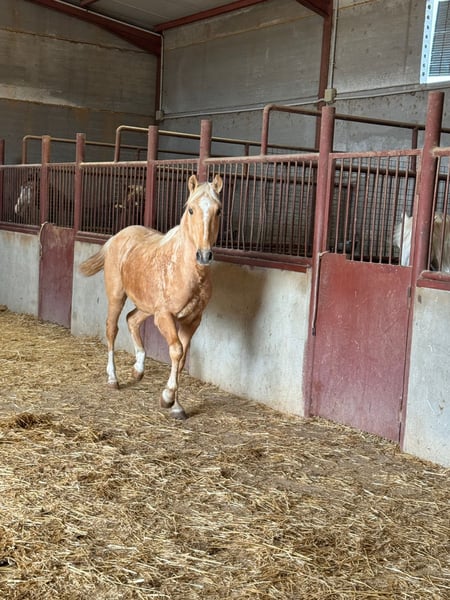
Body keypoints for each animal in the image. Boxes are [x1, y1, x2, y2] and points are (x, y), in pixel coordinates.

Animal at [79, 174, 223, 419]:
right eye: (191, 209)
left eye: (218, 210)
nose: (204, 255)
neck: (184, 270)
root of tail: (117, 236)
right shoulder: (164, 316)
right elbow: (176, 351)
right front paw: (167, 398)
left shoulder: (192, 320)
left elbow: (182, 359)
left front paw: (177, 406)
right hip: (117, 296)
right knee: (111, 328)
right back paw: (113, 379)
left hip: (146, 306)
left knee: (132, 320)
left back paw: (138, 370)